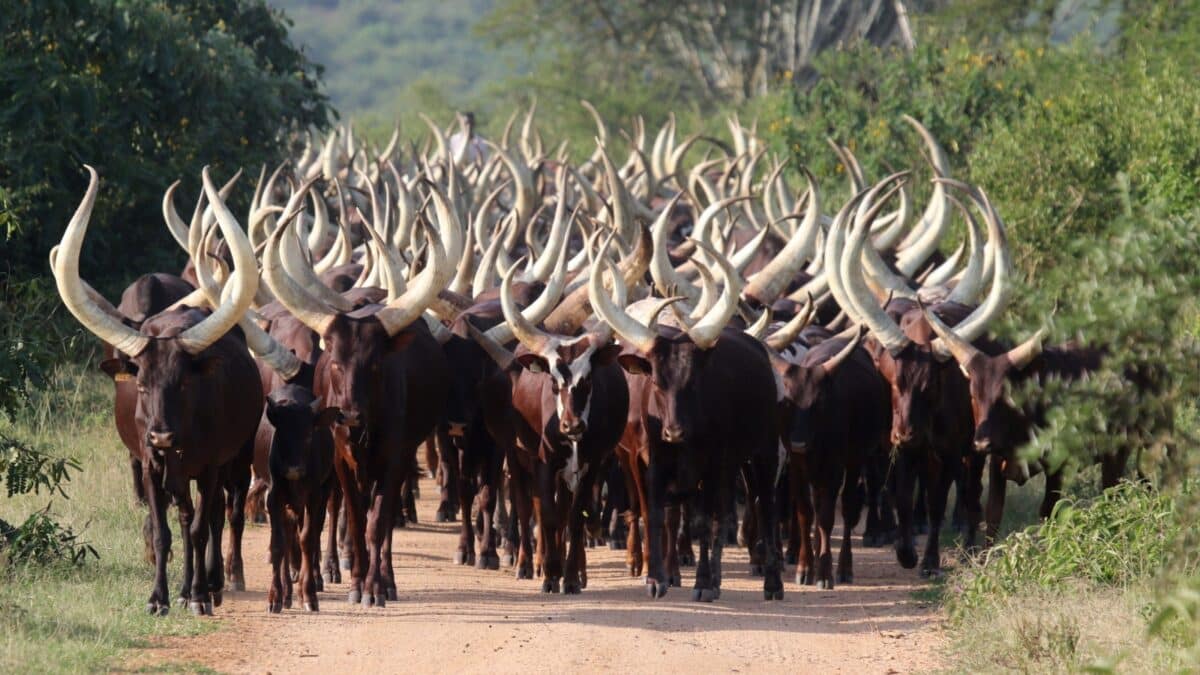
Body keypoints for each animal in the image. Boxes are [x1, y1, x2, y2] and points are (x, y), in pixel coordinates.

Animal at [51, 164, 265, 614]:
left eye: (184, 382)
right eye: (142, 385)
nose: (162, 435)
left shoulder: (211, 466)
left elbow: (202, 526)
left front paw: (199, 595)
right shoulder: (152, 466)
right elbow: (167, 530)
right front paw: (160, 598)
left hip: (235, 459)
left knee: (219, 516)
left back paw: (214, 583)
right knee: (185, 516)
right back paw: (187, 588)